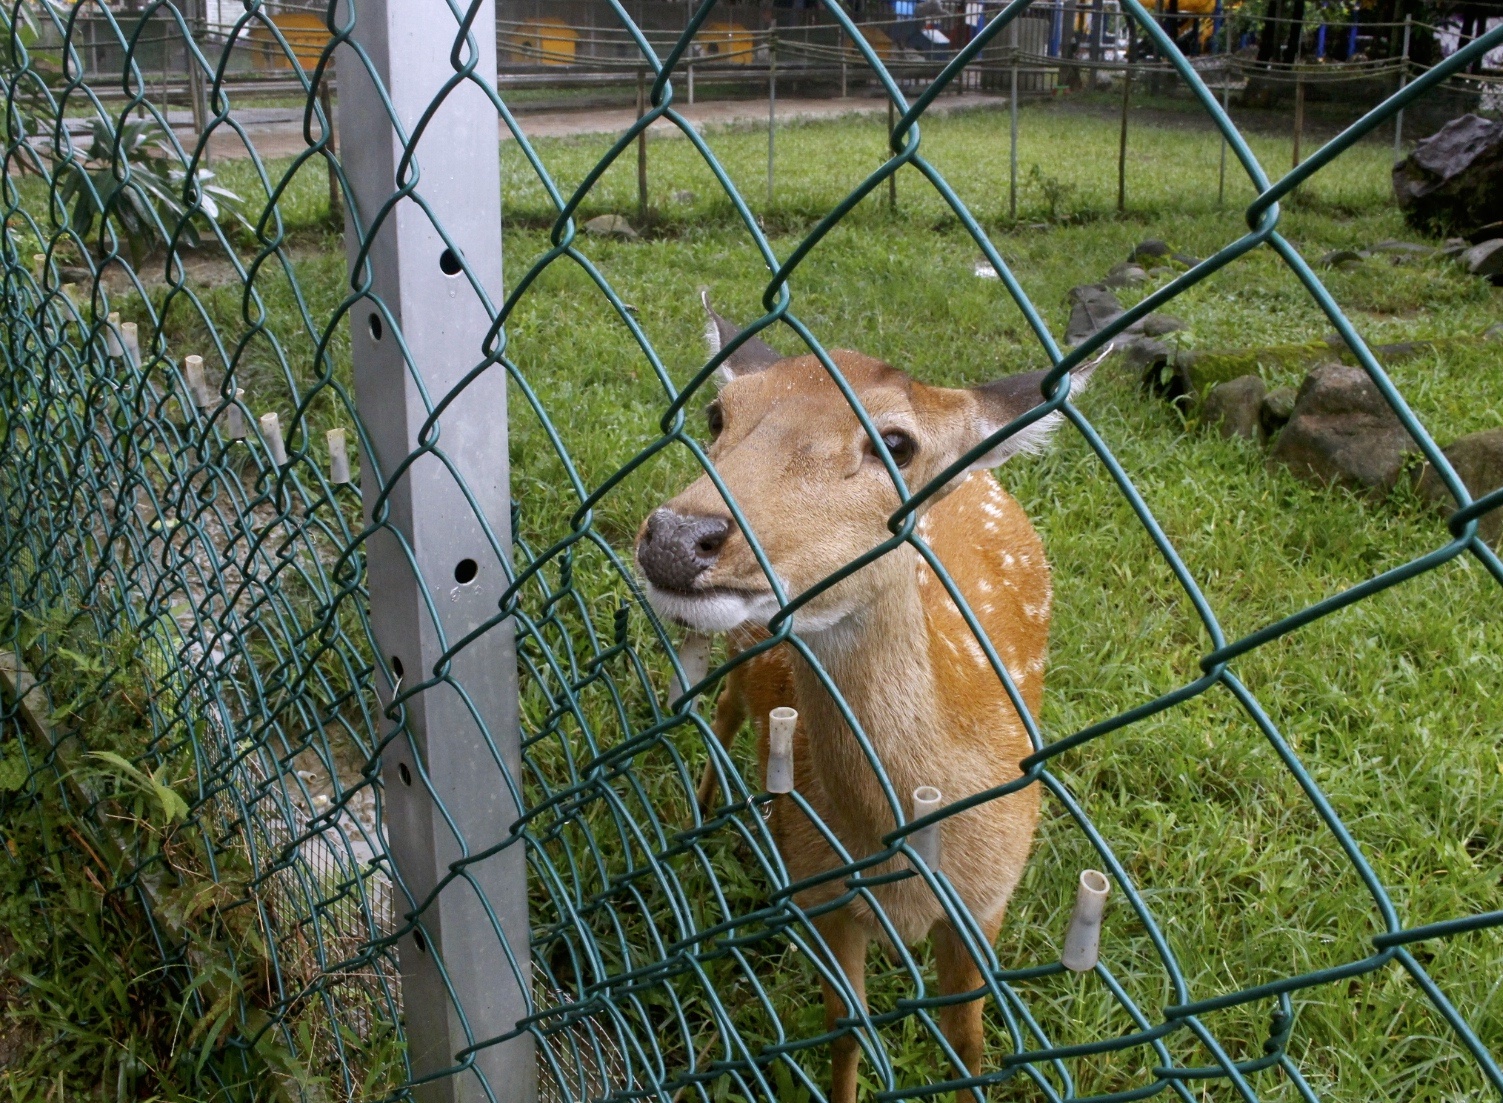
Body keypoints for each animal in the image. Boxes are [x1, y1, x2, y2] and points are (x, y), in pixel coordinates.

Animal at [634, 296, 1094, 1103]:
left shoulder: (987, 902)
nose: (676, 537)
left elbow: (968, 1041)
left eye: (897, 443)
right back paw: (703, 808)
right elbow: (846, 1031)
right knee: (724, 708)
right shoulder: (823, 895)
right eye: (720, 414)